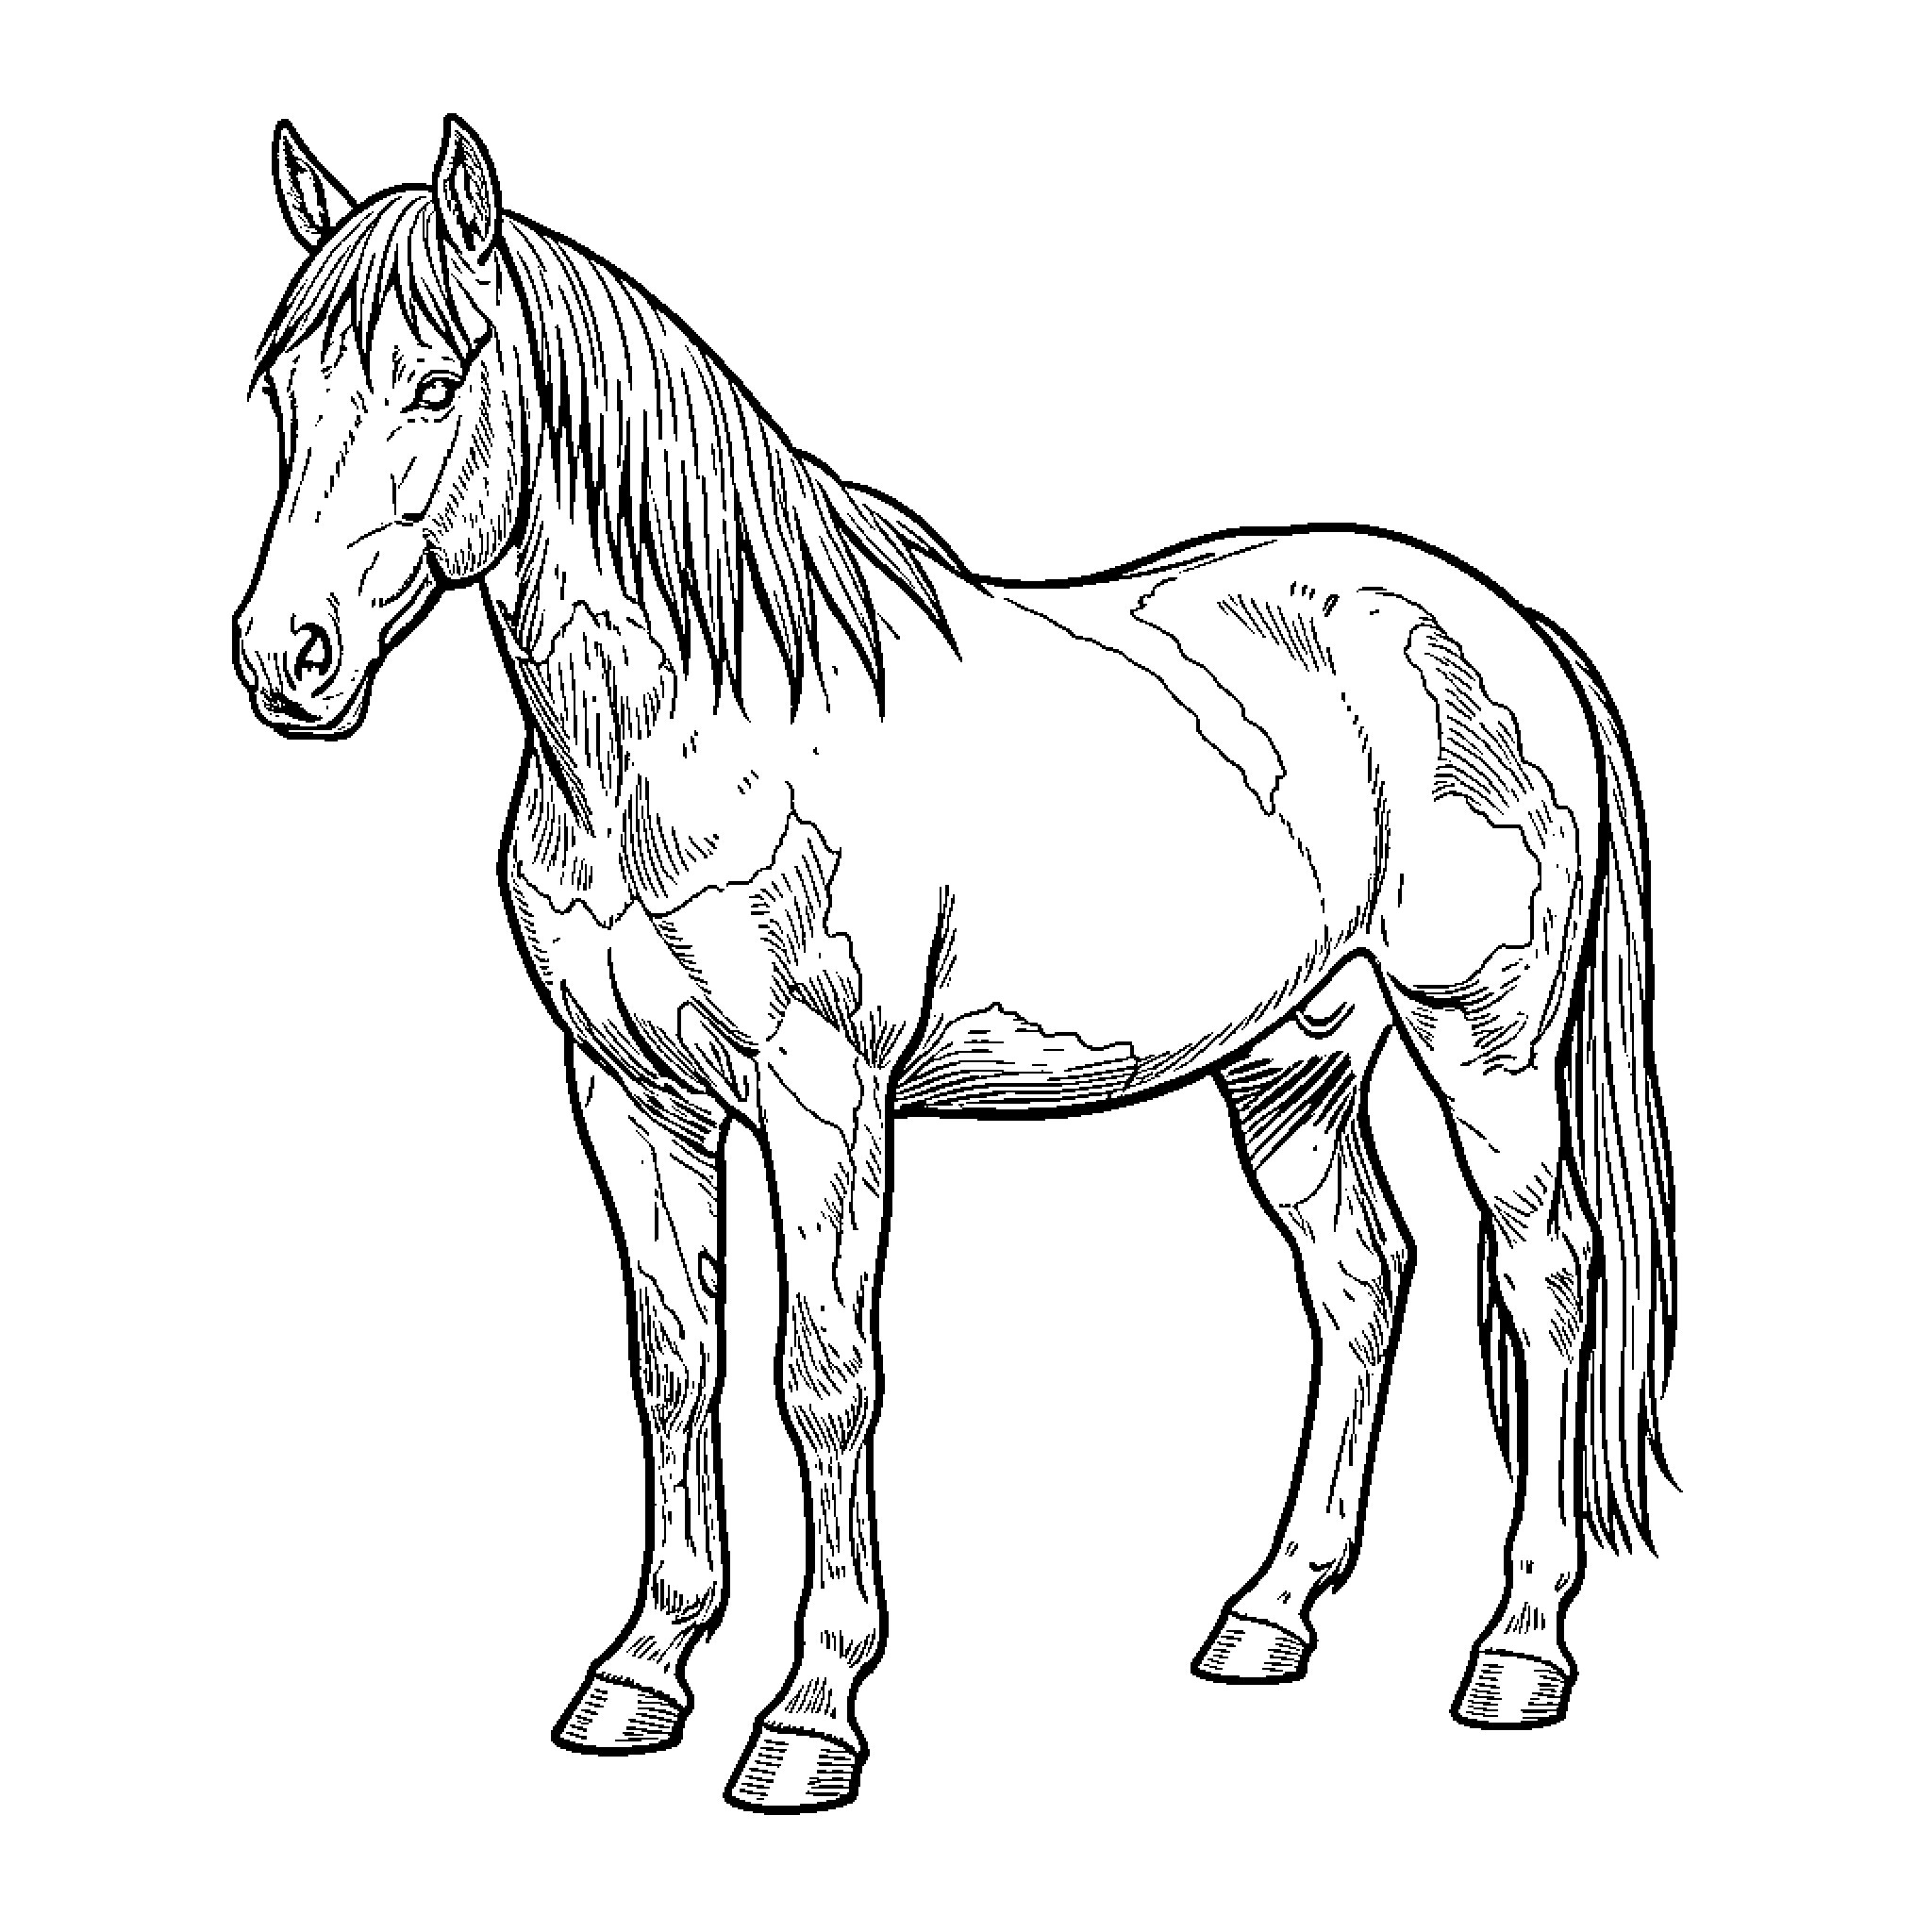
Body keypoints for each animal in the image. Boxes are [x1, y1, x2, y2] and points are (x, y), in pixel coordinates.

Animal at [233, 115, 1675, 1814]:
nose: (285, 659)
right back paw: (1269, 1613)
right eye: (285, 389)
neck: (693, 736)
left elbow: (820, 1374)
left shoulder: (822, 1093)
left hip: (1482, 1034)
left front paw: (809, 1714)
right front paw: (641, 1671)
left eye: (437, 381)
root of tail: (1501, 625)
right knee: (1357, 1276)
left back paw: (1518, 1649)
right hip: (1294, 1058)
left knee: (1545, 1275)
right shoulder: (628, 1097)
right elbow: (674, 1363)